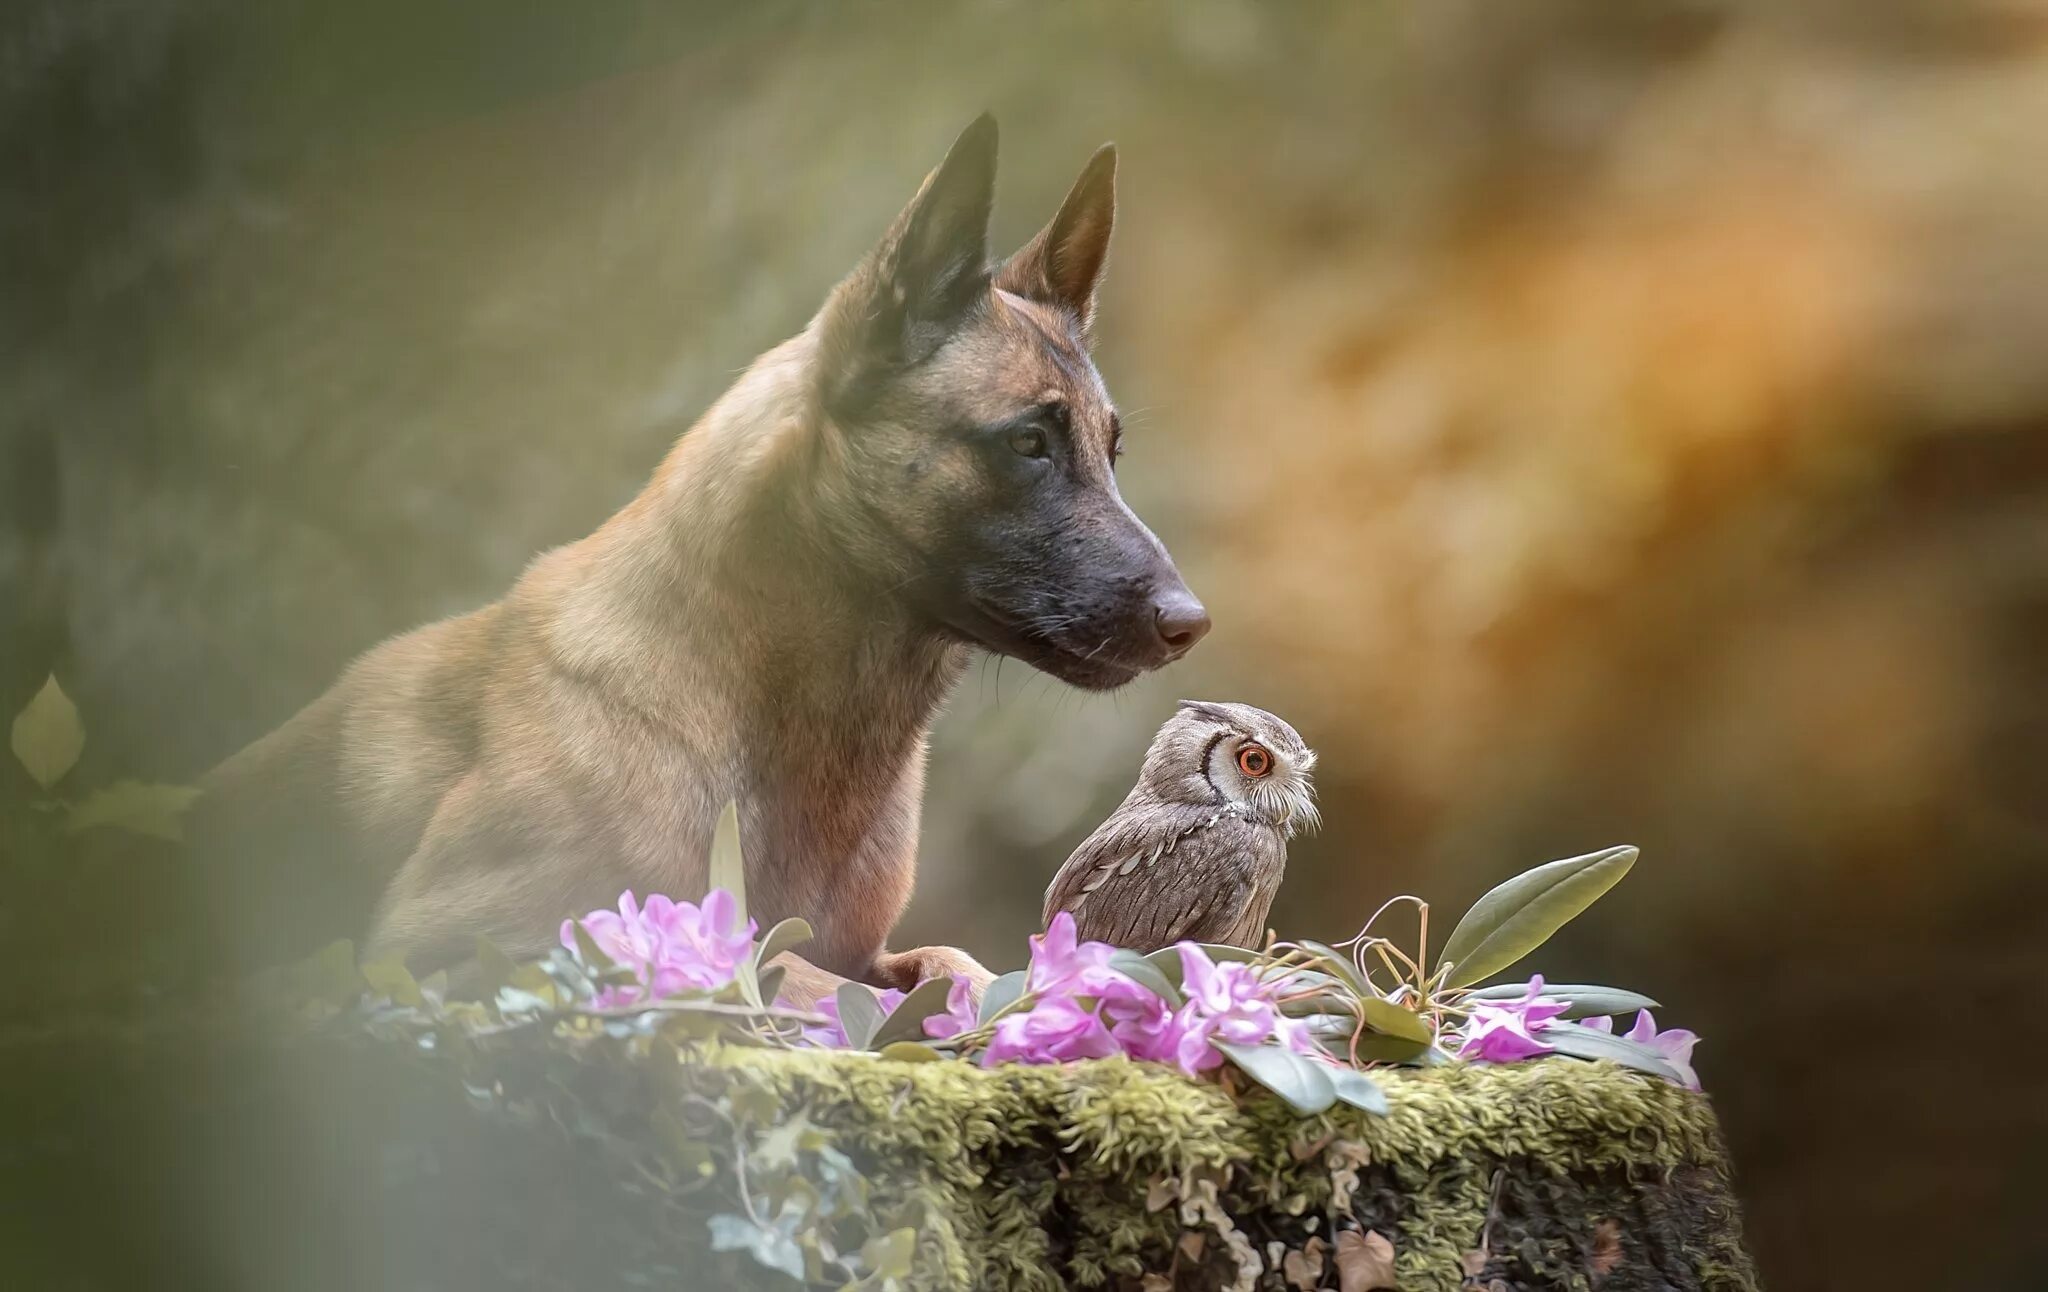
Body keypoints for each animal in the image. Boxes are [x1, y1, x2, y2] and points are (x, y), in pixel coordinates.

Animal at [186, 116, 1204, 1007]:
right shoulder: (453, 951)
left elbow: (951, 964)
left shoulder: (876, 947)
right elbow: (780, 965)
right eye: (1029, 442)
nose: (1188, 625)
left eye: (1111, 451)